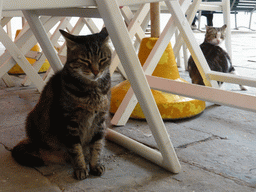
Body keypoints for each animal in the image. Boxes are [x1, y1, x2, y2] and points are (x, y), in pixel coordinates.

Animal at [11, 27, 112, 180]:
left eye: (103, 59)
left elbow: (97, 145)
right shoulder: (69, 122)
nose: (96, 72)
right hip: (31, 121)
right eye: (85, 60)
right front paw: (81, 168)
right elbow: (75, 148)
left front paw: (95, 165)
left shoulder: (101, 120)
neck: (93, 90)